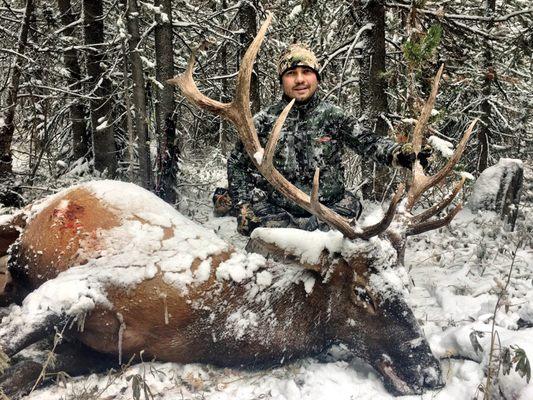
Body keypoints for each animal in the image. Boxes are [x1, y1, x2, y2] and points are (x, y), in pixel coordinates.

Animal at [0, 11, 474, 396]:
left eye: (407, 284)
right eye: (363, 292)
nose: (430, 374)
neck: (204, 320)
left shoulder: (113, 351)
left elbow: (25, 372)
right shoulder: (81, 282)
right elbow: (11, 344)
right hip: (24, 218)